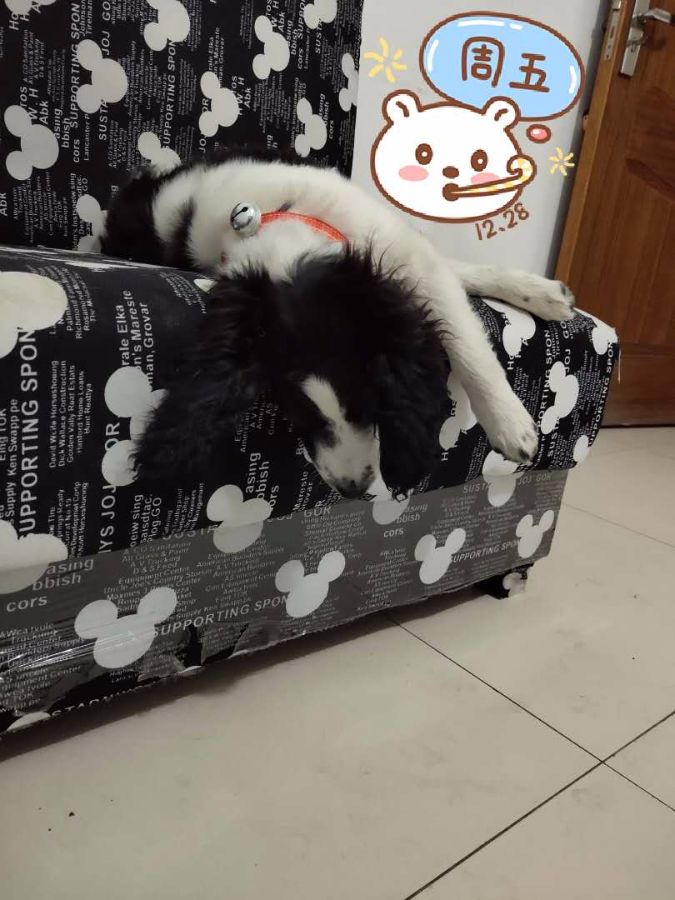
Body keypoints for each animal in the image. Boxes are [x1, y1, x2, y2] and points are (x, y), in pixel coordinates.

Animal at [101, 146, 574, 498]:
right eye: (295, 408)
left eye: (369, 400)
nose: (354, 489)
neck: (277, 221)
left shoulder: (395, 248)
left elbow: (465, 333)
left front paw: (511, 425)